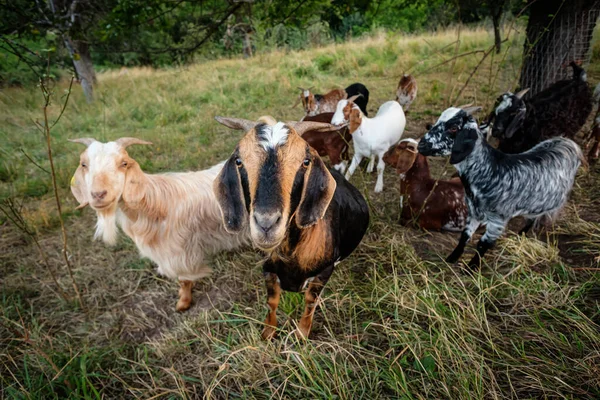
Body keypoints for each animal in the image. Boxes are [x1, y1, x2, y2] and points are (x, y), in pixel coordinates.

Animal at [69, 139, 247, 310]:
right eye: (83, 164)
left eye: (124, 163)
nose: (98, 194)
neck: (154, 203)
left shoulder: (178, 253)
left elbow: (183, 279)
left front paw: (183, 303)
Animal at [213, 115, 368, 340]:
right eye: (239, 161)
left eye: (305, 161)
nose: (266, 223)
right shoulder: (268, 269)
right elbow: (272, 301)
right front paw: (268, 332)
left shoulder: (324, 271)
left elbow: (310, 301)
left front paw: (302, 334)